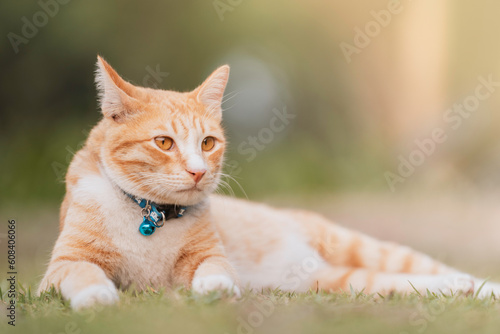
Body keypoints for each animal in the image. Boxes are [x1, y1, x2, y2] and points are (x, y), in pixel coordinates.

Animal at [38, 56, 500, 310]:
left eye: (207, 143)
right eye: (164, 142)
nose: (198, 171)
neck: (151, 216)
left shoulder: (210, 256)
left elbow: (214, 269)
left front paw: (216, 288)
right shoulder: (59, 269)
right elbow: (82, 273)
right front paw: (96, 297)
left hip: (353, 245)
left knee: (433, 269)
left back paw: (479, 287)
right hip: (332, 281)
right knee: (405, 283)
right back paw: (460, 290)